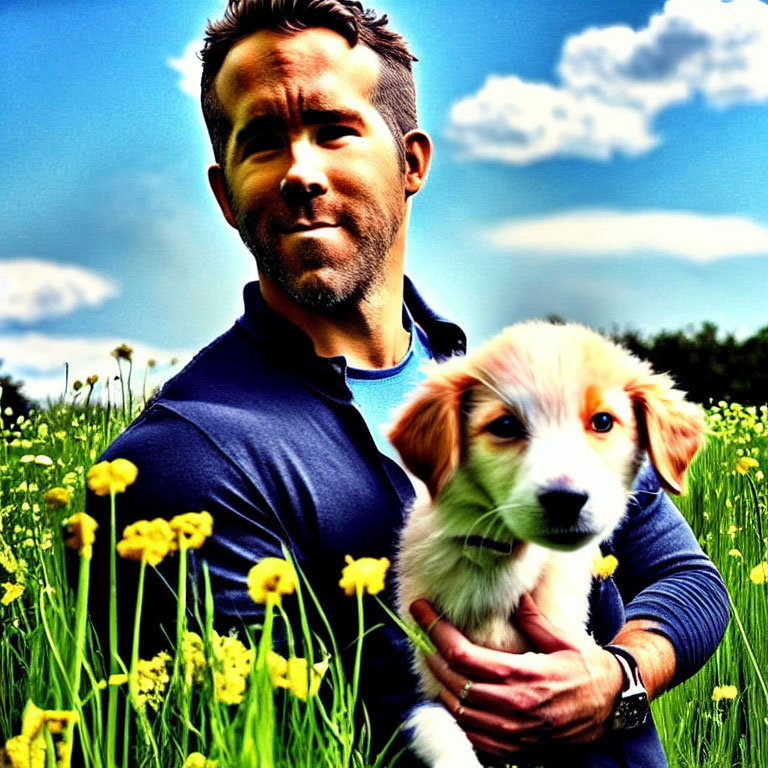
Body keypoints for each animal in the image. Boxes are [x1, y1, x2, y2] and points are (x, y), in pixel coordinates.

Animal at [390, 320, 704, 768]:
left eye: (603, 421)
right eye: (505, 425)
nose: (565, 500)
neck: (502, 561)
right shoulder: (429, 680)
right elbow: (437, 726)